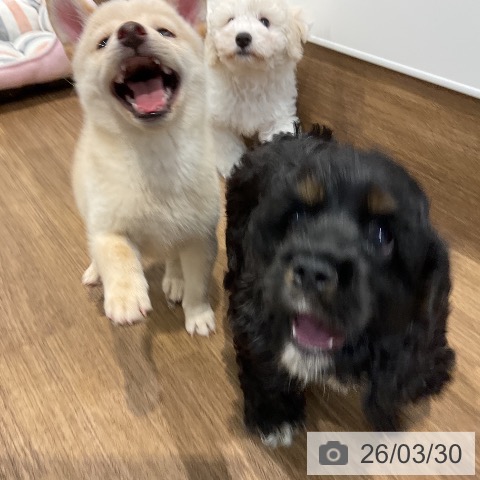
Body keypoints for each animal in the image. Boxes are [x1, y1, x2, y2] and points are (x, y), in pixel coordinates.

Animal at [47, 0, 219, 335]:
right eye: (102, 43)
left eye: (165, 32)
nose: (129, 30)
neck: (155, 153)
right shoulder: (109, 227)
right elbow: (117, 254)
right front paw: (125, 297)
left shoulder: (199, 237)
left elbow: (197, 285)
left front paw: (198, 314)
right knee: (96, 248)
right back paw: (96, 272)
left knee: (173, 256)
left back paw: (174, 278)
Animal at [205, 0, 308, 176]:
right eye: (230, 20)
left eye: (265, 21)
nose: (242, 38)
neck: (249, 75)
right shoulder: (219, 120)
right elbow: (227, 145)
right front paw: (233, 167)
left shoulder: (278, 114)